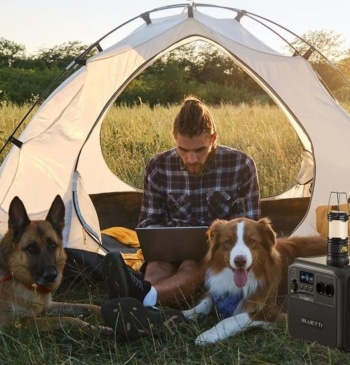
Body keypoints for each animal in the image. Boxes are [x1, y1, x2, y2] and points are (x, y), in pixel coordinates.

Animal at [183, 218, 328, 342]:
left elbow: (233, 319)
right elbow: (207, 301)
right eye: (228, 241)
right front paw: (187, 313)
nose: (240, 261)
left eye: (252, 241)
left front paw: (209, 334)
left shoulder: (274, 308)